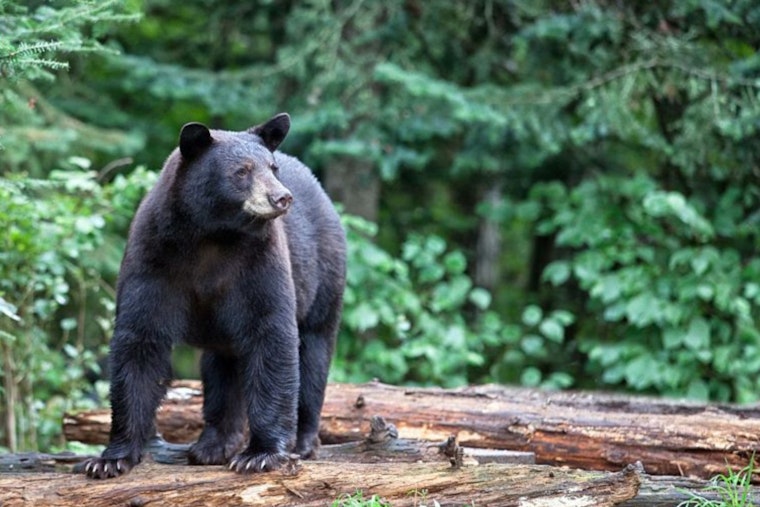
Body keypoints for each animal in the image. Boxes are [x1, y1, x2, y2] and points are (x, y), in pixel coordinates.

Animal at [83, 113, 346, 478]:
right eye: (242, 171)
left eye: (272, 167)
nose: (282, 197)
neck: (212, 235)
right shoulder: (153, 258)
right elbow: (140, 340)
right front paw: (110, 458)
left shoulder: (259, 262)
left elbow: (271, 334)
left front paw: (261, 454)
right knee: (223, 368)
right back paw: (213, 445)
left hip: (324, 276)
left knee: (314, 352)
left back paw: (304, 442)